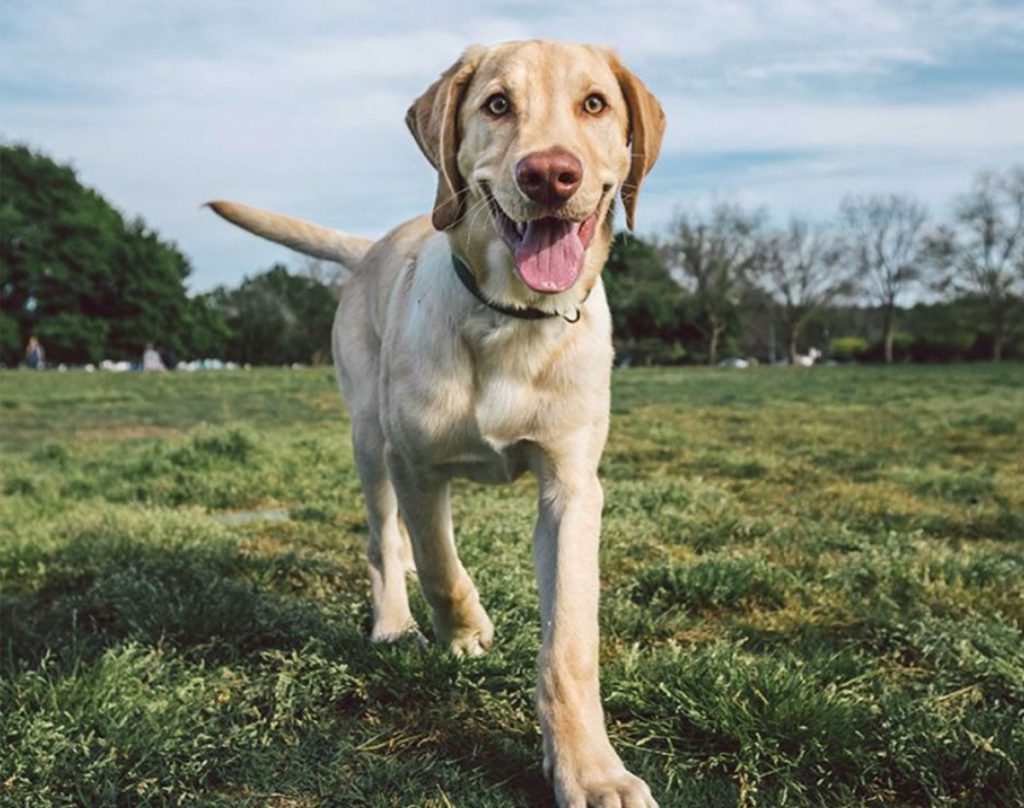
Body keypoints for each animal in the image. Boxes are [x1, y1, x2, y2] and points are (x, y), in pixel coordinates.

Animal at [211, 42, 667, 806]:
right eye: (498, 104)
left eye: (595, 104)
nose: (549, 175)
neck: (512, 318)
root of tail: (371, 245)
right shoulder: (415, 463)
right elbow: (438, 563)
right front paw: (465, 630)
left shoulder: (572, 486)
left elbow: (569, 643)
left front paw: (590, 770)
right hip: (368, 438)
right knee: (383, 541)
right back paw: (395, 623)